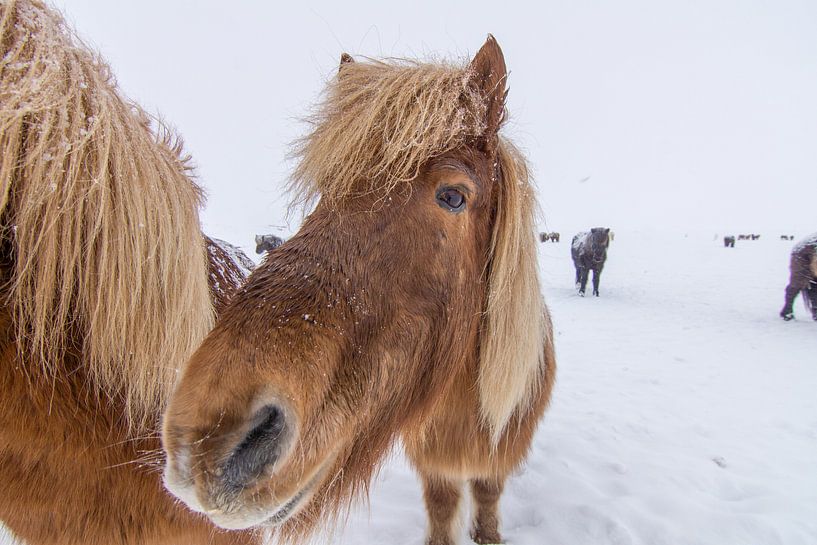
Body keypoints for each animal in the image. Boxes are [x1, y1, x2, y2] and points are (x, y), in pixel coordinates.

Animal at [161, 37, 556, 545]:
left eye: (453, 196)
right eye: (326, 191)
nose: (205, 436)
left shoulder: (496, 457)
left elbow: (487, 493)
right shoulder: (433, 464)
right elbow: (442, 503)